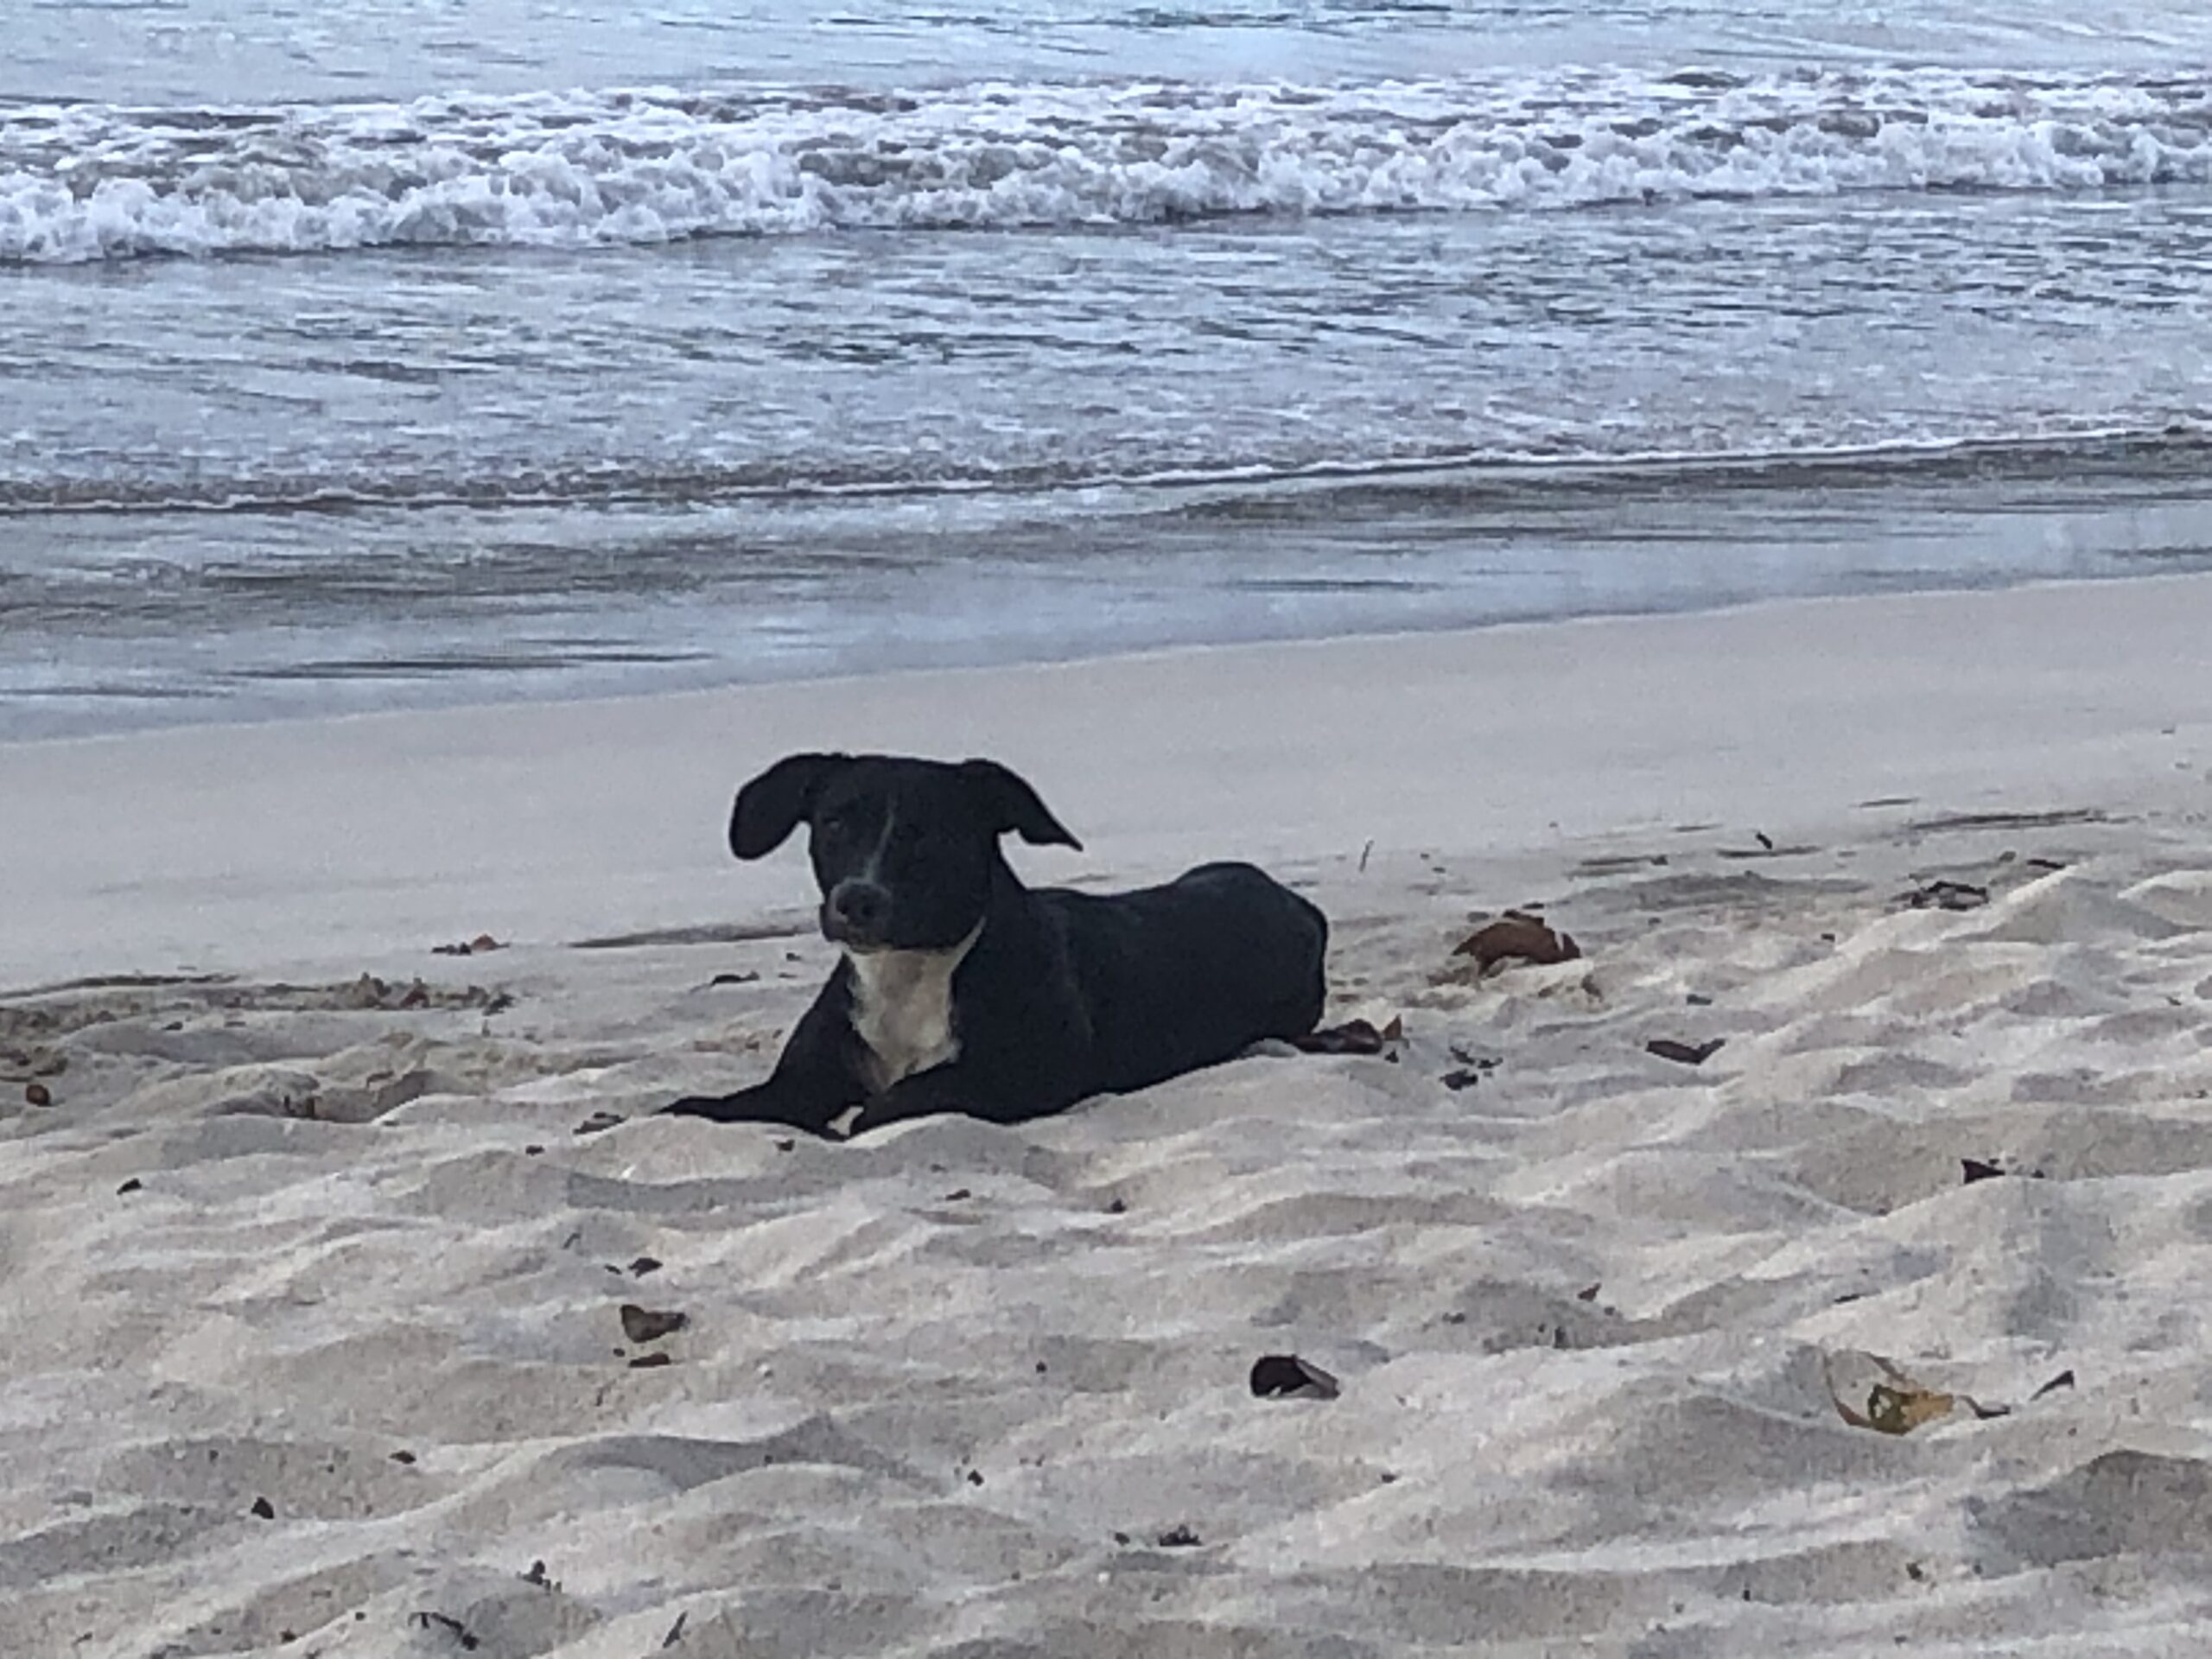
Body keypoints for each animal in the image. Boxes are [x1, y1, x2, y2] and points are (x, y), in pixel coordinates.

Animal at [650, 756, 1309, 1141]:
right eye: (834, 822)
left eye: (929, 832)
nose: (857, 900)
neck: (911, 972)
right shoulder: (799, 1082)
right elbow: (712, 1107)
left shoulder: (1026, 1075)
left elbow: (898, 1099)